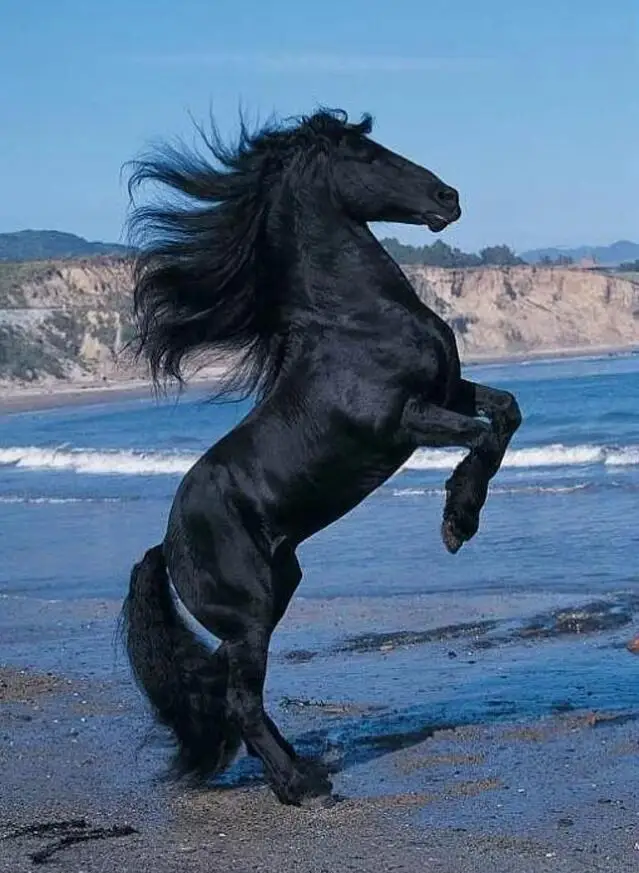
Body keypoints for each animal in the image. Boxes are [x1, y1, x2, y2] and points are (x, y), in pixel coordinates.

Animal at [121, 107, 522, 807]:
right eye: (365, 155)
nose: (448, 198)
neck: (355, 321)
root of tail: (166, 547)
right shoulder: (404, 421)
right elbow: (480, 436)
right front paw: (456, 523)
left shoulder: (448, 392)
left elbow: (506, 415)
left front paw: (462, 520)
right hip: (251, 612)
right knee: (241, 700)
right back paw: (300, 785)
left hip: (274, 595)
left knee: (228, 692)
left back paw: (300, 769)